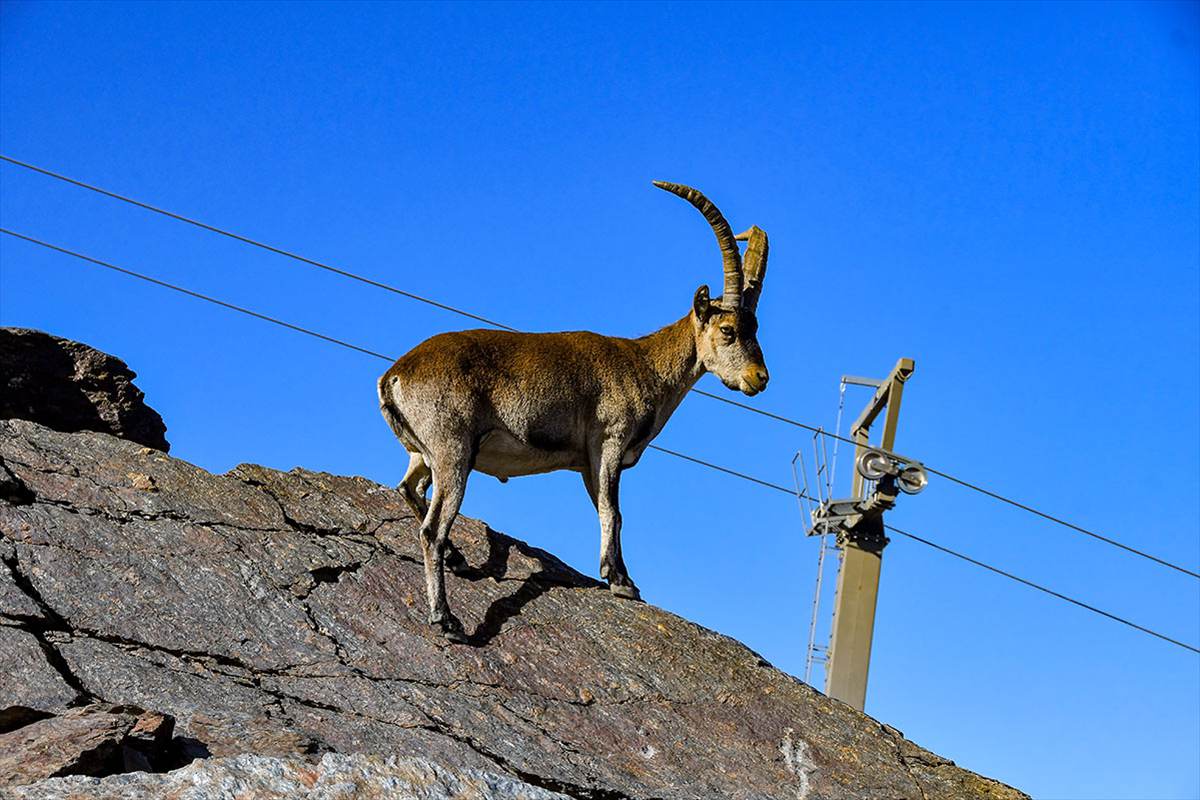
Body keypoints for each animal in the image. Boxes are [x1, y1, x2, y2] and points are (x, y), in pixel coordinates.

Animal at [378, 181, 770, 642]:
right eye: (727, 330)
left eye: (755, 329)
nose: (760, 378)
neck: (646, 365)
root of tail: (395, 375)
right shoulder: (610, 442)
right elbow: (614, 512)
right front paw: (620, 582)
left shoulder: (586, 462)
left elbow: (604, 508)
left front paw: (622, 577)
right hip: (452, 450)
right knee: (431, 529)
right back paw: (446, 618)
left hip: (423, 453)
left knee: (409, 489)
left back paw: (458, 561)